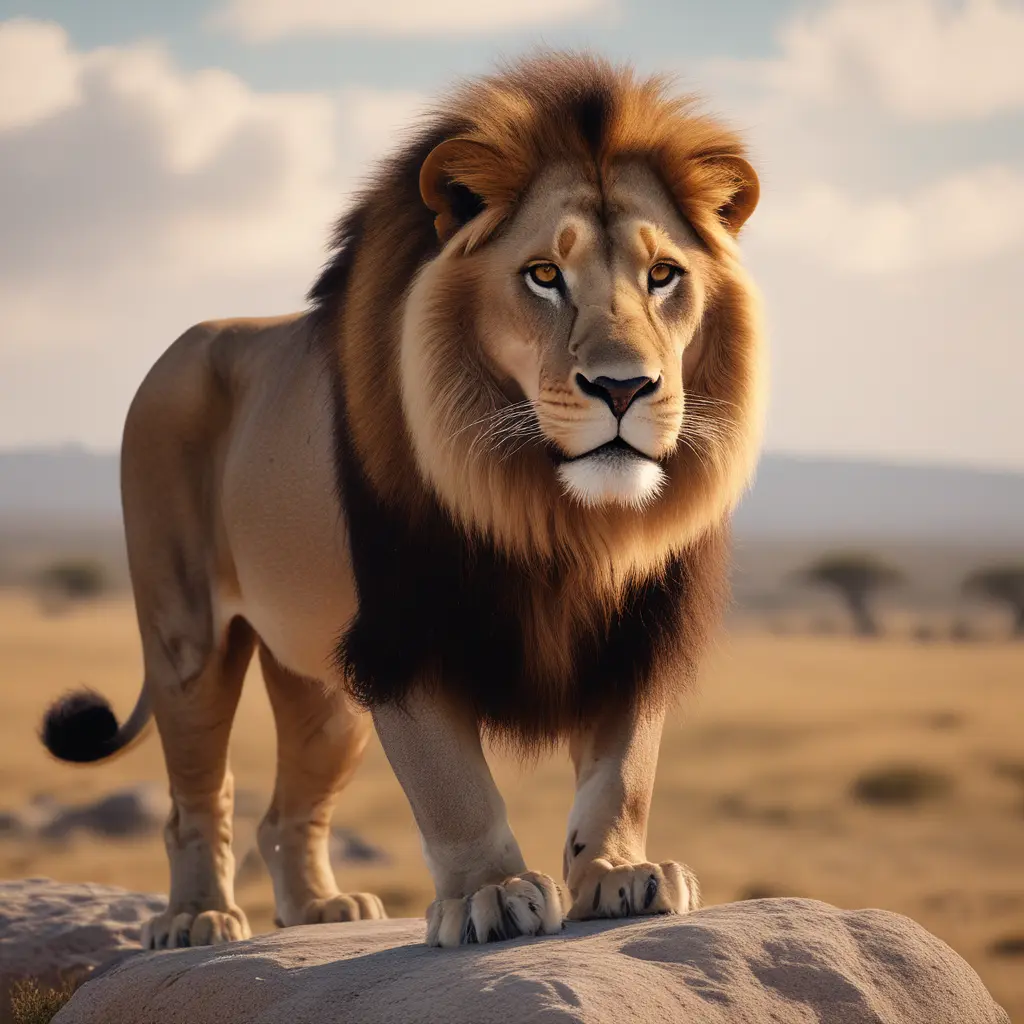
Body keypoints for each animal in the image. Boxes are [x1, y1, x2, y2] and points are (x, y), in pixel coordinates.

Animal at [40, 53, 765, 949]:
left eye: (664, 276)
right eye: (544, 276)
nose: (625, 387)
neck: (555, 512)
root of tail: (177, 348)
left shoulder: (639, 626)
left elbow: (623, 768)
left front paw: (619, 873)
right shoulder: (405, 632)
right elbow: (452, 785)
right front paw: (493, 892)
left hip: (320, 680)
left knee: (289, 810)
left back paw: (323, 908)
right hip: (187, 636)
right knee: (198, 795)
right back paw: (198, 917)